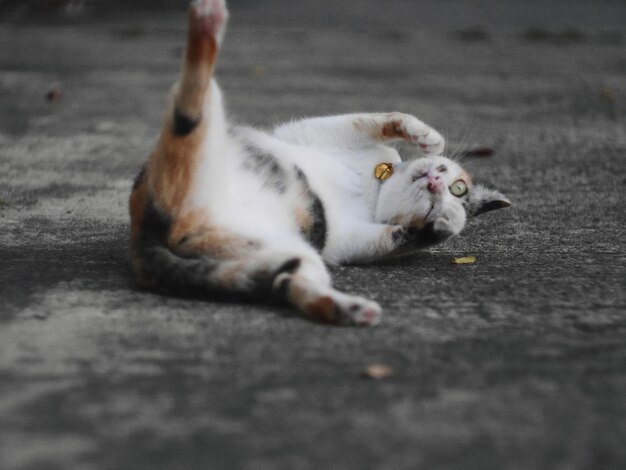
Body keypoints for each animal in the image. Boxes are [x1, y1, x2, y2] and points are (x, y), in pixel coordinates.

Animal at [127, 0, 508, 326]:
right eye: (458, 187)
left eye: (445, 200)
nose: (436, 182)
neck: (371, 190)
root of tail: (151, 244)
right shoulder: (316, 132)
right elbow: (374, 119)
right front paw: (424, 134)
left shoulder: (344, 241)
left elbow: (396, 238)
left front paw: (442, 226)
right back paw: (206, 20)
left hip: (282, 251)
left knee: (286, 281)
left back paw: (348, 309)